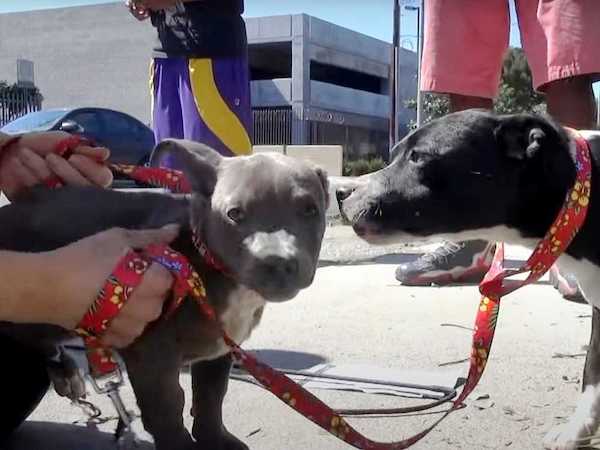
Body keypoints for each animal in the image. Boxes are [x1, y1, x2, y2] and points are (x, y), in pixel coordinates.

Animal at [0, 141, 328, 450]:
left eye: (310, 209)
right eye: (234, 214)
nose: (278, 261)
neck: (201, 257)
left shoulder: (220, 349)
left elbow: (211, 397)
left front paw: (215, 439)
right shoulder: (152, 360)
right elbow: (168, 409)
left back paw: (64, 370)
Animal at [338, 110, 600, 450]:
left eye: (417, 157)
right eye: (394, 154)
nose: (340, 192)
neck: (580, 194)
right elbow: (592, 370)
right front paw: (577, 429)